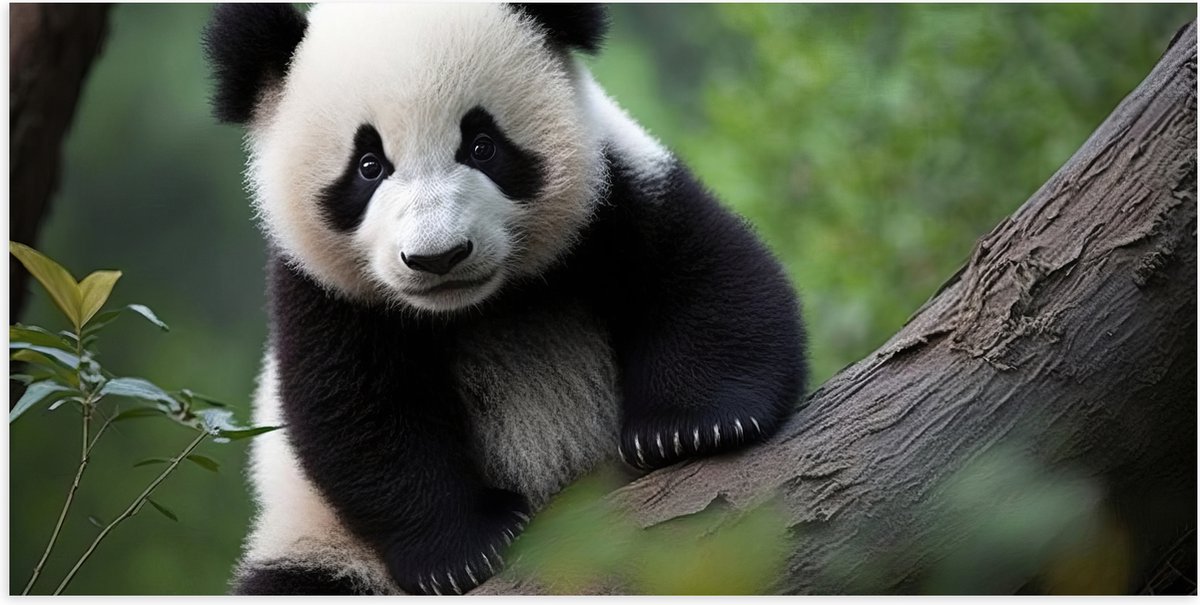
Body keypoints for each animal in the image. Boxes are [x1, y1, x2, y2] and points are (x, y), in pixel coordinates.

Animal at [204, 2, 806, 595]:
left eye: (482, 146)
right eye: (369, 166)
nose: (439, 257)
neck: (477, 306)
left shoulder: (614, 194)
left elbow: (702, 277)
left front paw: (690, 427)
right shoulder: (322, 291)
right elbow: (358, 411)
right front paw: (464, 549)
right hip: (317, 541)